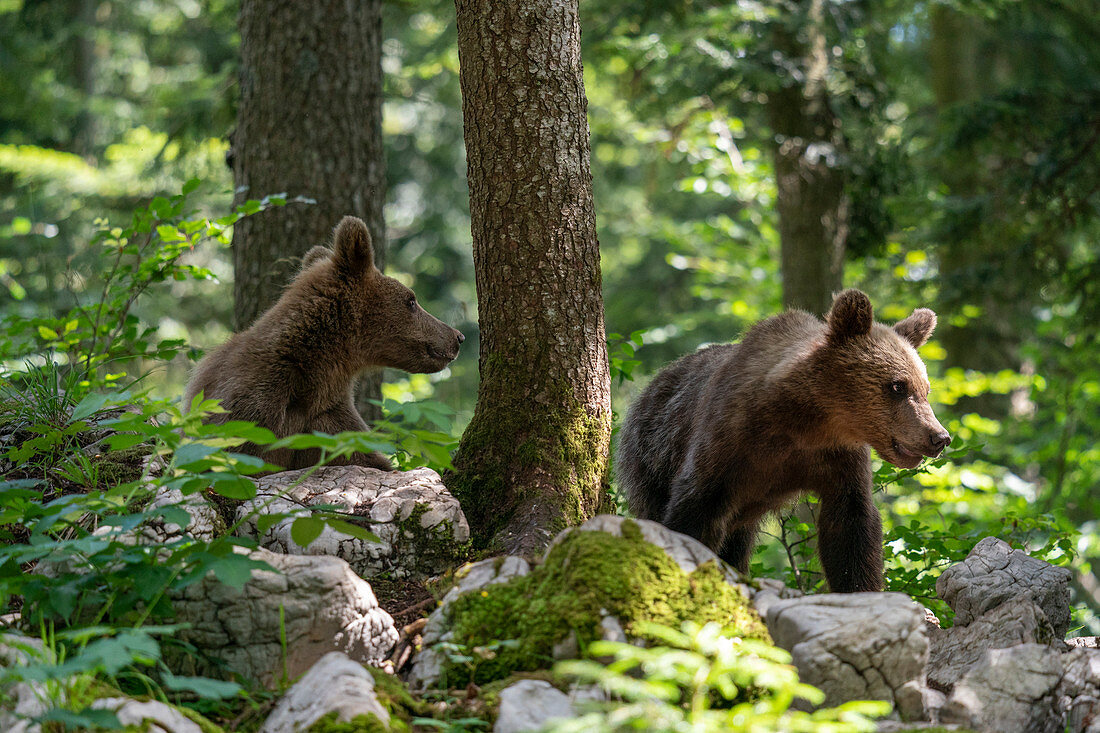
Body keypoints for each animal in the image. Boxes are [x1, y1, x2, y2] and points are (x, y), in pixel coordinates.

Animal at [616, 288, 950, 589]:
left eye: (925, 389)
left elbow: (850, 529)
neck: (804, 423)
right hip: (650, 454)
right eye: (897, 386)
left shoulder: (838, 460)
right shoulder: (728, 442)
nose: (939, 437)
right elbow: (694, 511)